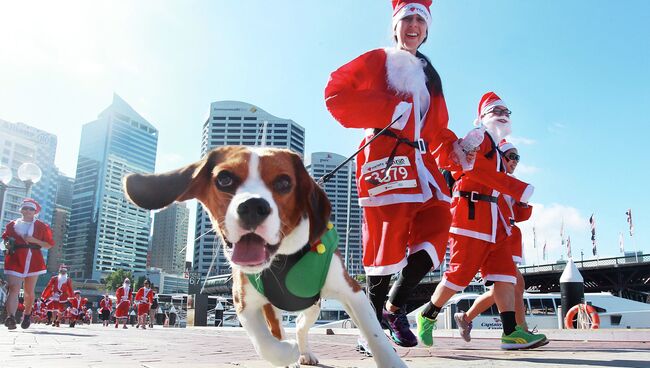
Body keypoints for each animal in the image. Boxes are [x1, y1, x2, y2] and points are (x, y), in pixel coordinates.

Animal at [123, 147, 404, 368]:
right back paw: (295, 353)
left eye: (283, 183)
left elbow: (375, 335)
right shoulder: (244, 303)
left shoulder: (352, 291)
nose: (252, 207)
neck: (284, 255)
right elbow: (265, 343)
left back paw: (305, 351)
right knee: (286, 328)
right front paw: (286, 352)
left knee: (301, 323)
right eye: (224, 179)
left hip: (315, 304)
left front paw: (391, 360)